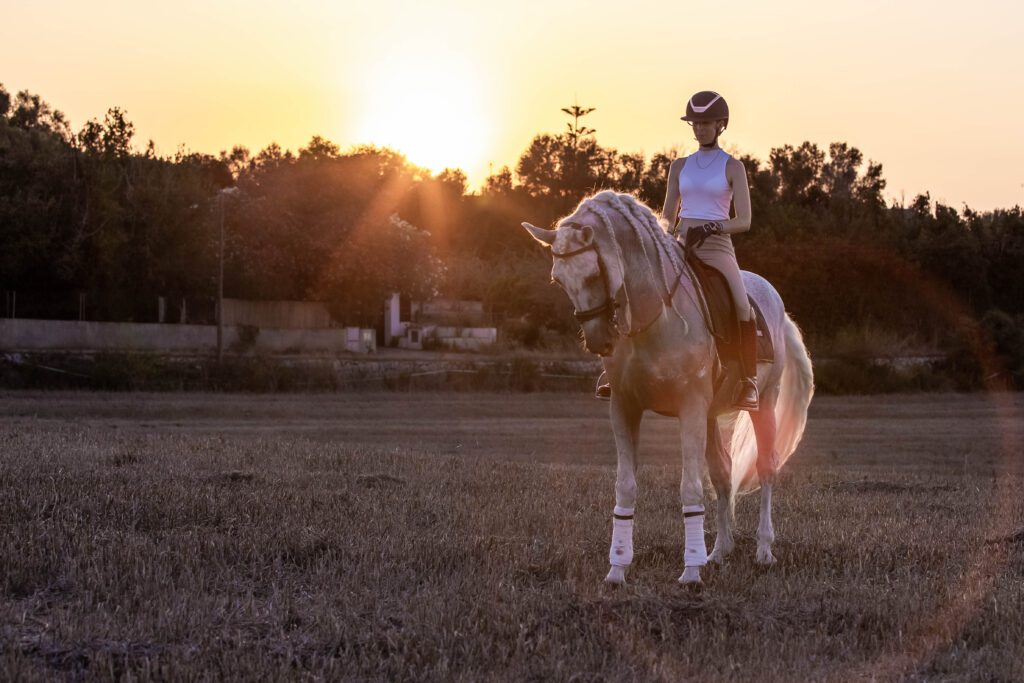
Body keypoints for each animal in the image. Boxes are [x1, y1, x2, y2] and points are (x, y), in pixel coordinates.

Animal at [522, 190, 814, 586]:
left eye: (595, 273)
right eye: (558, 280)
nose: (599, 342)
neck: (652, 317)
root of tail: (775, 301)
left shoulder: (690, 408)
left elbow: (689, 487)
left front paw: (690, 572)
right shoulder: (624, 409)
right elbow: (626, 487)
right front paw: (617, 568)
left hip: (763, 404)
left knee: (766, 467)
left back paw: (764, 551)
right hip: (710, 415)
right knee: (723, 474)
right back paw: (719, 551)